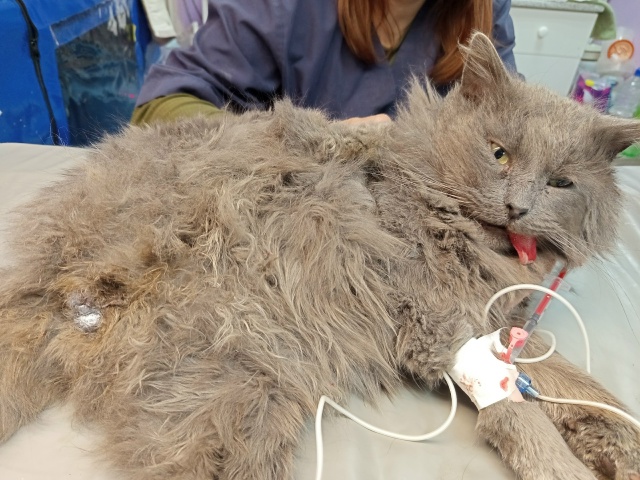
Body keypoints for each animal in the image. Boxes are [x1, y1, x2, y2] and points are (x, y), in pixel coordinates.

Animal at [1, 32, 639, 480]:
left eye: (561, 184)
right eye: (500, 153)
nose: (518, 207)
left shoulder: (500, 326)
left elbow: (585, 390)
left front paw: (623, 444)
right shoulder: (439, 327)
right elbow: (522, 416)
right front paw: (564, 466)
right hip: (235, 383)